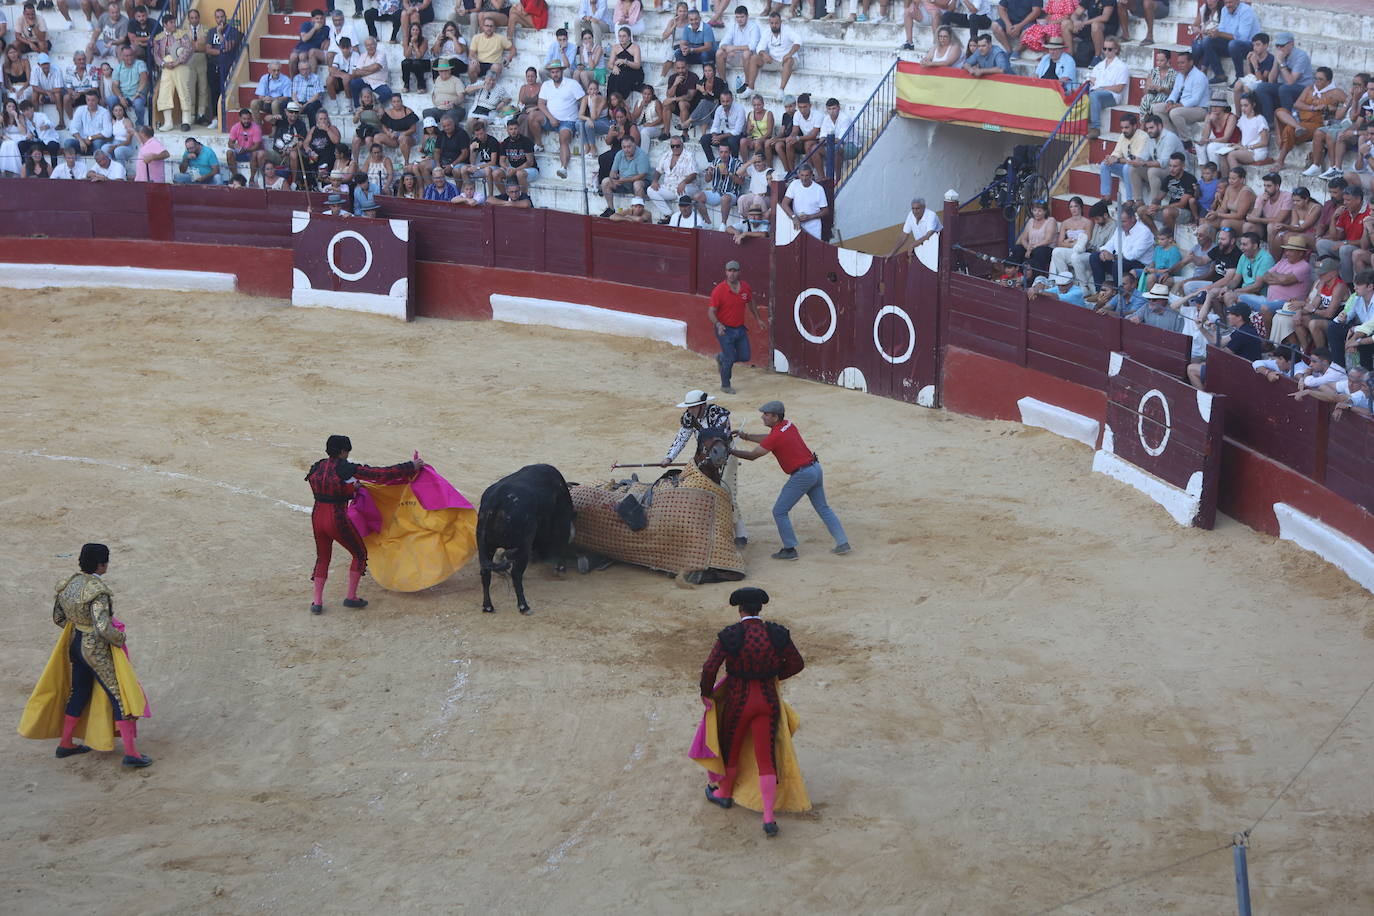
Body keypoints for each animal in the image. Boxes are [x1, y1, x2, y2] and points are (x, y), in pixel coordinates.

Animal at [478, 466, 574, 615]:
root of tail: (497, 499)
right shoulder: (562, 522)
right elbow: (561, 543)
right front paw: (561, 568)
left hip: (486, 547)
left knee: (485, 573)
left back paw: (488, 606)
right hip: (522, 548)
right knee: (516, 574)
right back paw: (524, 606)